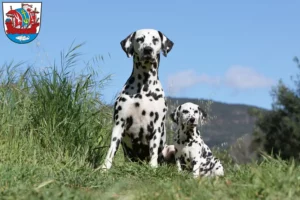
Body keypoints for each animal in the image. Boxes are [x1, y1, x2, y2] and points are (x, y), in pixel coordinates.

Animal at [101, 28, 173, 170]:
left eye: (155, 39)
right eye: (140, 39)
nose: (148, 49)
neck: (144, 87)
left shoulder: (157, 126)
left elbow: (153, 150)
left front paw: (153, 167)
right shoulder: (119, 123)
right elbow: (111, 149)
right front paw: (105, 167)